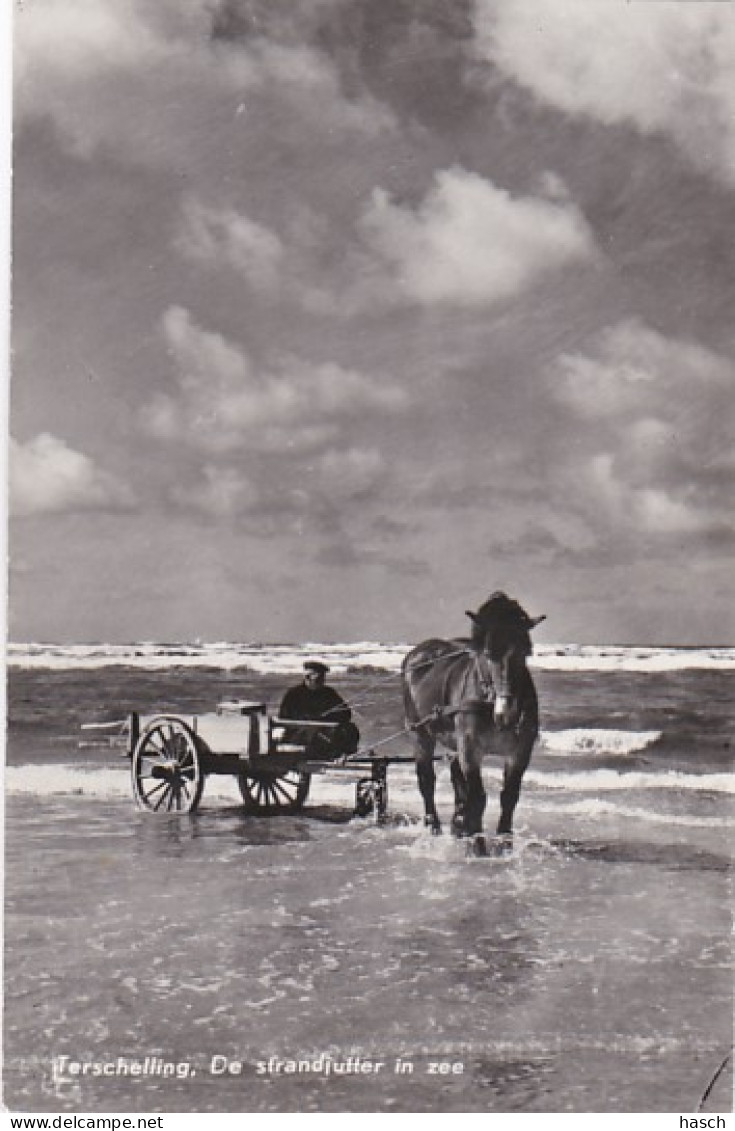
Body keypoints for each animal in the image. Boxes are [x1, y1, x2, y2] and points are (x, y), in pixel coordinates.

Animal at [398, 597, 540, 850]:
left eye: (526, 653)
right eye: (488, 653)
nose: (507, 712)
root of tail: (418, 653)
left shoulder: (520, 752)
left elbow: (509, 796)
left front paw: (504, 843)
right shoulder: (471, 749)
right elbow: (477, 798)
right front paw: (478, 846)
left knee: (456, 778)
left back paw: (459, 824)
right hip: (419, 733)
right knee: (427, 781)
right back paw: (434, 828)